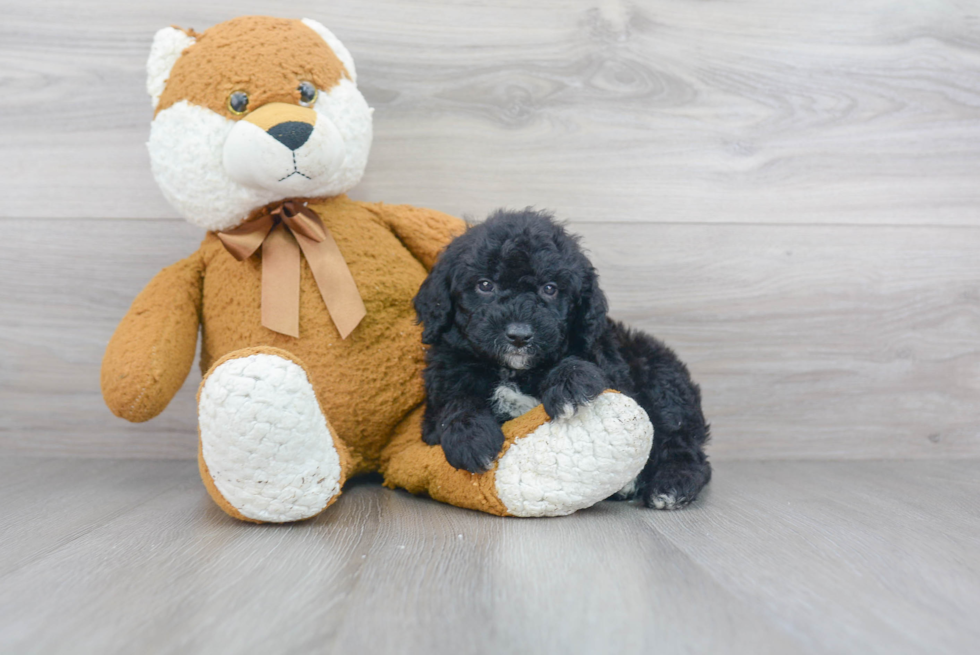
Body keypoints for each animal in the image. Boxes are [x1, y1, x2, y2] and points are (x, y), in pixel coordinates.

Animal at [414, 209, 712, 508]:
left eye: (550, 288)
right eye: (485, 285)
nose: (519, 335)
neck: (514, 372)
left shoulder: (612, 371)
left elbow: (582, 365)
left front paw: (569, 385)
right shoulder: (437, 399)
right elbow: (456, 402)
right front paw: (471, 439)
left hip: (661, 379)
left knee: (683, 445)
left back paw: (671, 485)